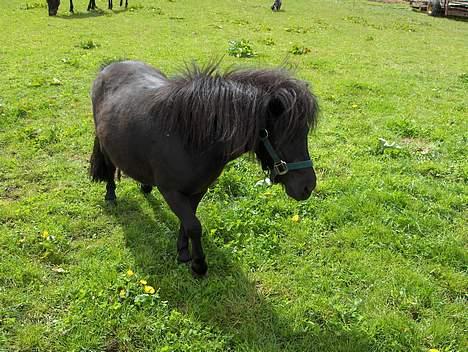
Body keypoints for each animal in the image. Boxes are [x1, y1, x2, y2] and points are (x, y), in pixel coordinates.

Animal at [90, 60, 320, 276]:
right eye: (286, 135)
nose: (308, 186)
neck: (189, 138)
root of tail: (109, 67)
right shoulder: (171, 191)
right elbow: (194, 226)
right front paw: (199, 265)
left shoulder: (198, 189)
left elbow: (187, 221)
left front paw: (183, 251)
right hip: (104, 142)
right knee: (108, 166)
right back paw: (110, 195)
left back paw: (145, 186)